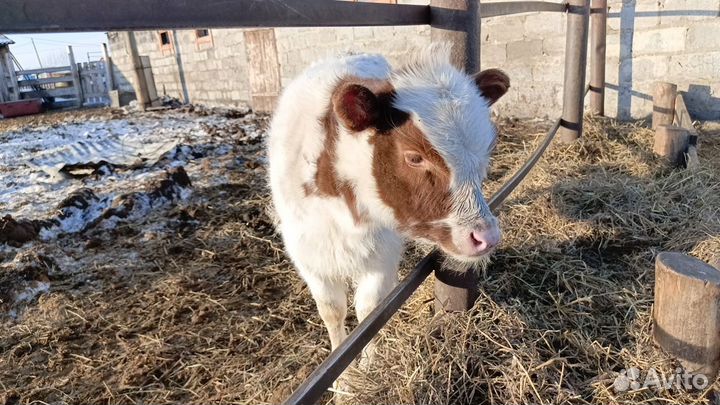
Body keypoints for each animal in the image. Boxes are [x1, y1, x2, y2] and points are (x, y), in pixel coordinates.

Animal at [268, 45, 509, 357]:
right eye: (415, 157)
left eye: (485, 151)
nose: (486, 237)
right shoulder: (308, 253)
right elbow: (332, 311)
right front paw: (344, 366)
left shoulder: (383, 251)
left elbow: (368, 312)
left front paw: (368, 364)